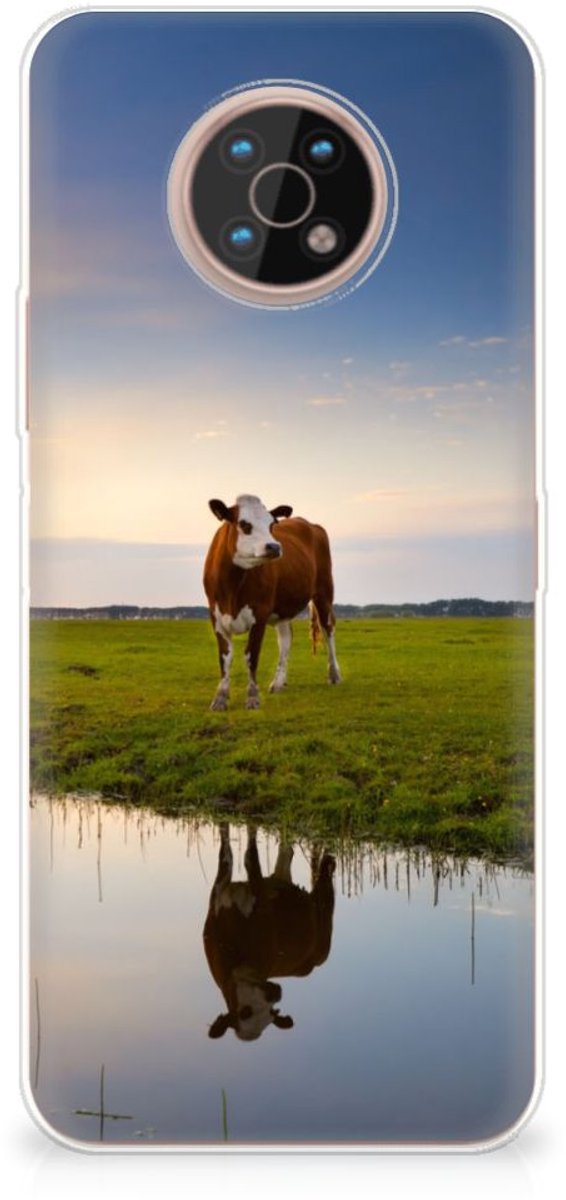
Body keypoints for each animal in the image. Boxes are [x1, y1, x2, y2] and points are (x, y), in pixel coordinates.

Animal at [203, 494, 341, 710]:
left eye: (271, 524)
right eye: (244, 524)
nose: (275, 547)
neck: (232, 586)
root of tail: (310, 524)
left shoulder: (259, 614)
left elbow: (251, 656)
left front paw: (252, 697)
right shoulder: (216, 616)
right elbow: (225, 657)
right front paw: (220, 697)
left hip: (324, 592)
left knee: (328, 629)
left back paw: (334, 674)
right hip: (283, 608)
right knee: (286, 639)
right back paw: (278, 682)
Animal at [203, 824, 336, 1041]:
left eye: (271, 1013)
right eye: (245, 1012)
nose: (276, 993)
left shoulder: (261, 903)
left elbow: (250, 857)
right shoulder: (218, 894)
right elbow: (226, 853)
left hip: (323, 932)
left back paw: (328, 861)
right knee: (287, 852)